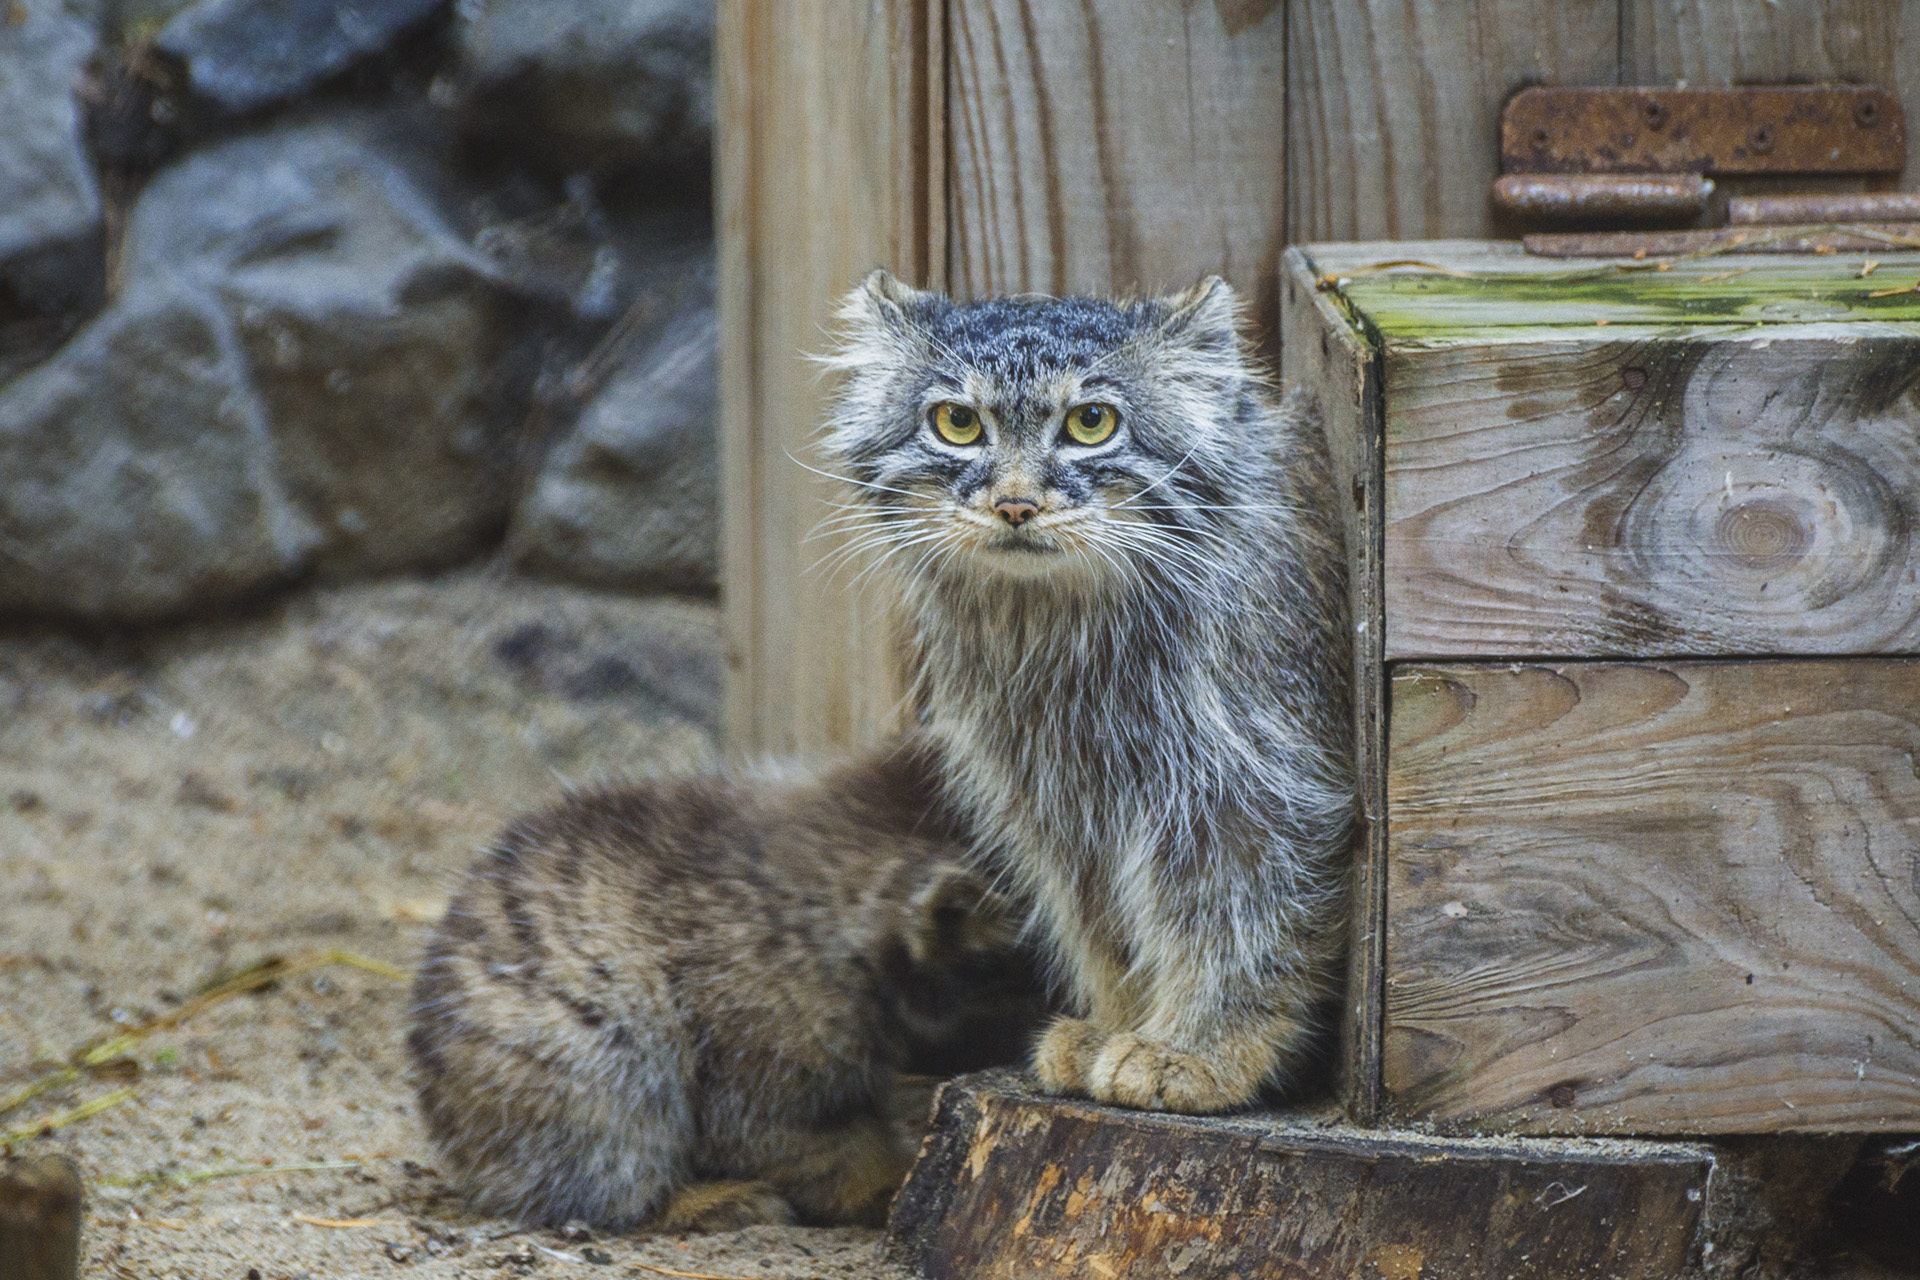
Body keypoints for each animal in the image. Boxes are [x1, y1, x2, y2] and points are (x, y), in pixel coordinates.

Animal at [401, 744, 1036, 1235]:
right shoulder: (766, 1046)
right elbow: (799, 1142)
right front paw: (890, 1186)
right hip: (586, 1072)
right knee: (601, 1171)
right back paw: (704, 1200)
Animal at [821, 272, 1351, 1113]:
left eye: (1090, 423)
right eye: (957, 423)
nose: (1014, 504)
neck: (1060, 636)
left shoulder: (1252, 786)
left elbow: (1240, 916)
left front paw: (1198, 1049)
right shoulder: (1060, 798)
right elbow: (1098, 918)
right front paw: (1117, 1021)